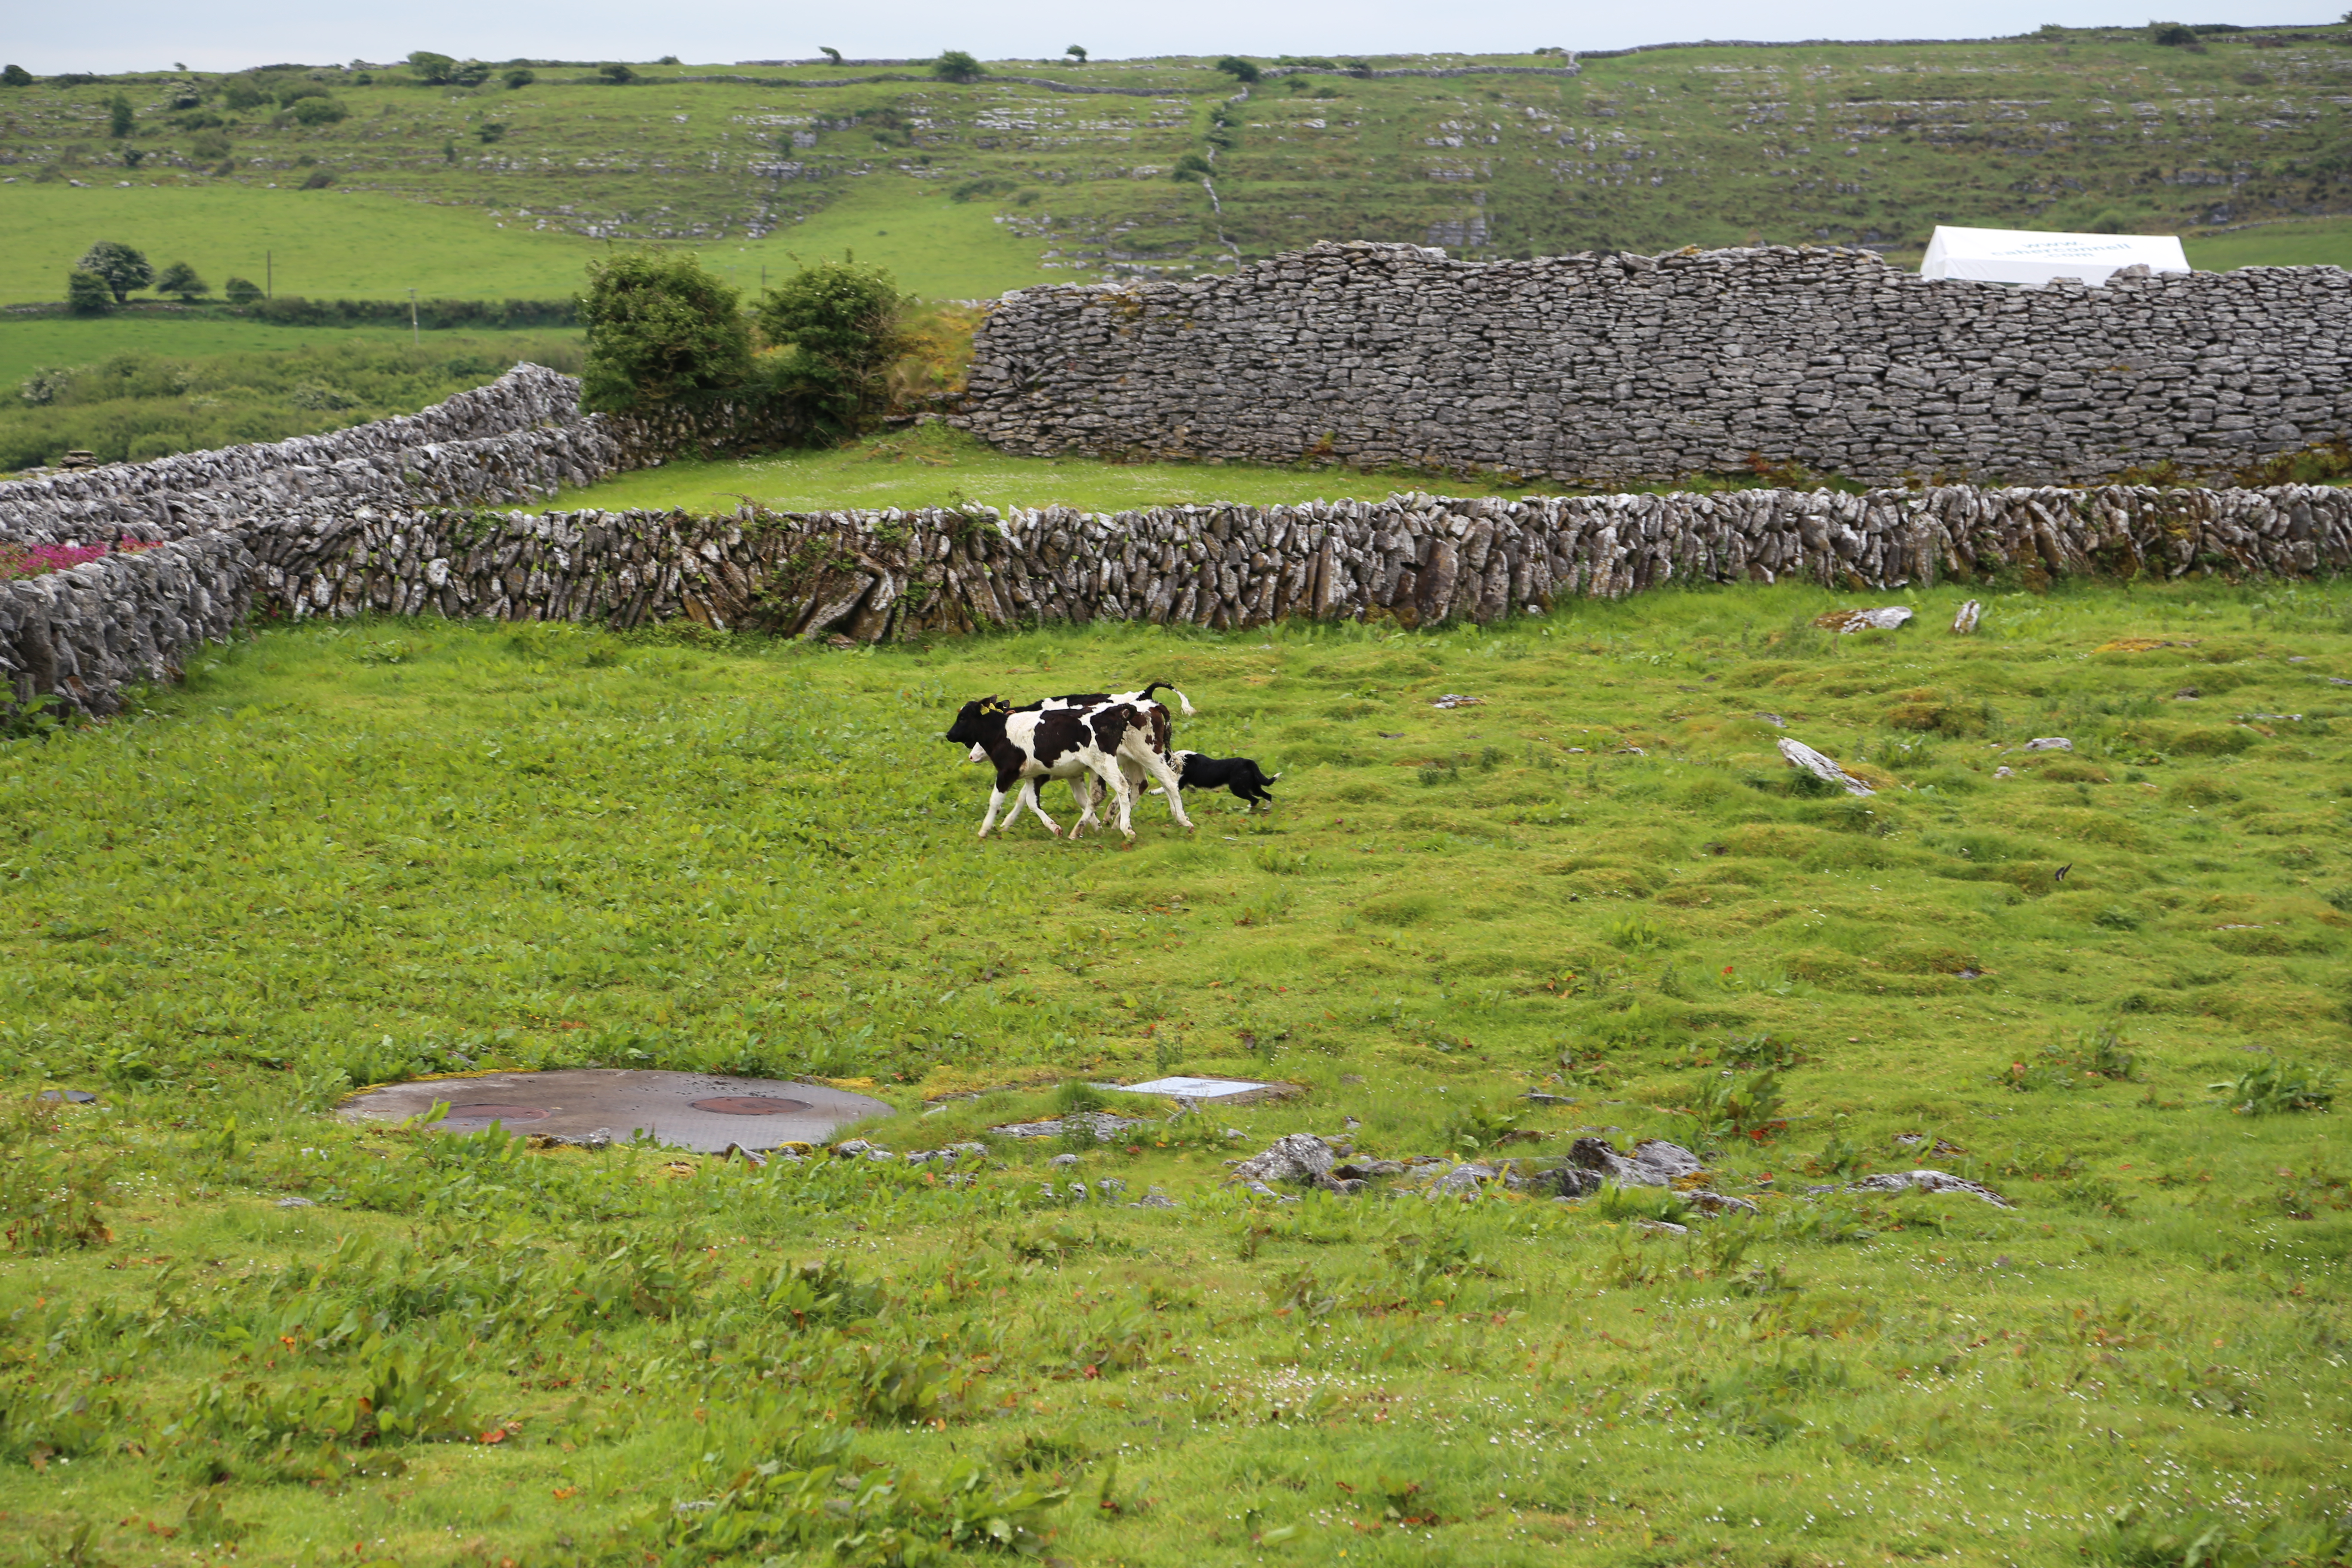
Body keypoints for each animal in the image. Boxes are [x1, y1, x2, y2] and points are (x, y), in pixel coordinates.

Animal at [940, 695, 1194, 841]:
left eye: (962, 718)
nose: (949, 735)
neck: (1004, 730)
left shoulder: (1008, 772)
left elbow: (997, 801)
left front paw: (986, 829)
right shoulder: (1040, 775)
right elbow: (1030, 800)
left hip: (1123, 759)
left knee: (1137, 785)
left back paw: (1131, 827)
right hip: (1131, 760)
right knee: (1142, 785)